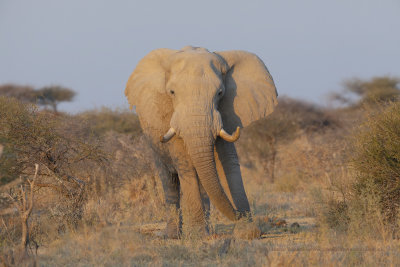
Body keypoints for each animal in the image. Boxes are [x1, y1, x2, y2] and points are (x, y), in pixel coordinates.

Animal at [125, 45, 278, 239]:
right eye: (172, 93)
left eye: (220, 93)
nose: (238, 215)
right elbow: (186, 164)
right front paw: (197, 236)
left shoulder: (225, 114)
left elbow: (228, 161)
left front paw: (247, 233)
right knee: (169, 179)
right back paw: (173, 235)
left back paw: (207, 231)